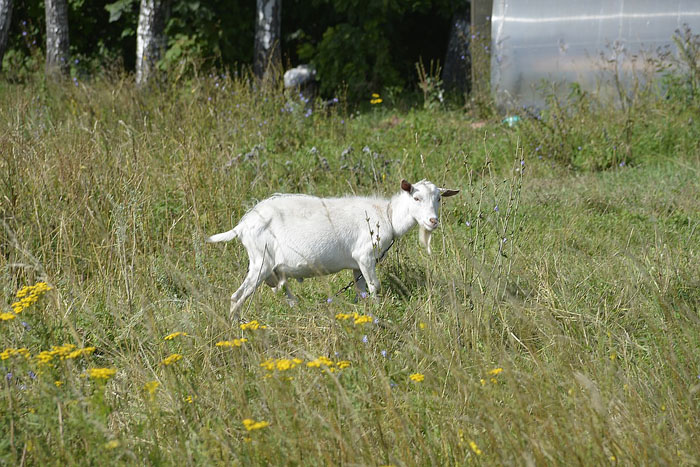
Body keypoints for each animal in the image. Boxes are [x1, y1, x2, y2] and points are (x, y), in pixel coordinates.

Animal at [207, 179, 459, 319]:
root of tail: (242, 225)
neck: (386, 215)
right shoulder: (365, 255)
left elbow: (362, 290)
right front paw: (379, 312)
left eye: (439, 198)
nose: (433, 221)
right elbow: (375, 286)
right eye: (416, 198)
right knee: (237, 296)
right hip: (261, 261)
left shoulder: (357, 266)